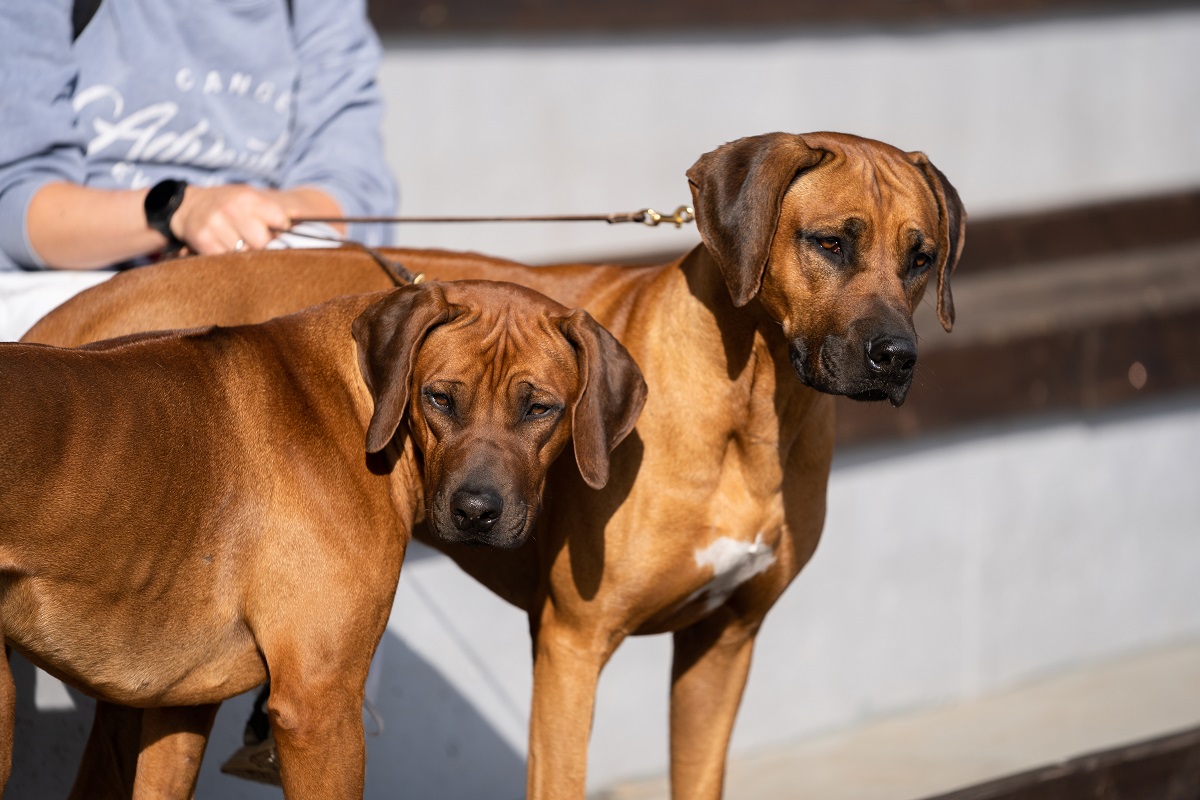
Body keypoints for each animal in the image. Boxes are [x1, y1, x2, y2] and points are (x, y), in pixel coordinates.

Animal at [0, 278, 648, 796]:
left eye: (540, 409)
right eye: (440, 397)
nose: (474, 512)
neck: (366, 402)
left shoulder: (179, 706)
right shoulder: (320, 705)